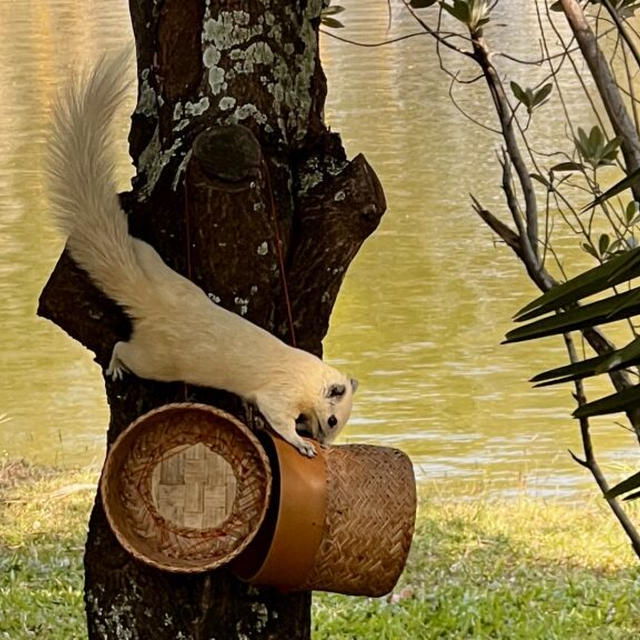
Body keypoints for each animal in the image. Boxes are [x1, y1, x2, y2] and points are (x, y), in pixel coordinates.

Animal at [47, 52, 358, 458]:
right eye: (333, 420)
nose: (324, 442)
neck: (303, 374)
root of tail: (153, 302)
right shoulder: (278, 395)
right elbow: (277, 419)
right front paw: (301, 444)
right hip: (156, 361)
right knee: (122, 348)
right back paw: (115, 365)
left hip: (160, 268)